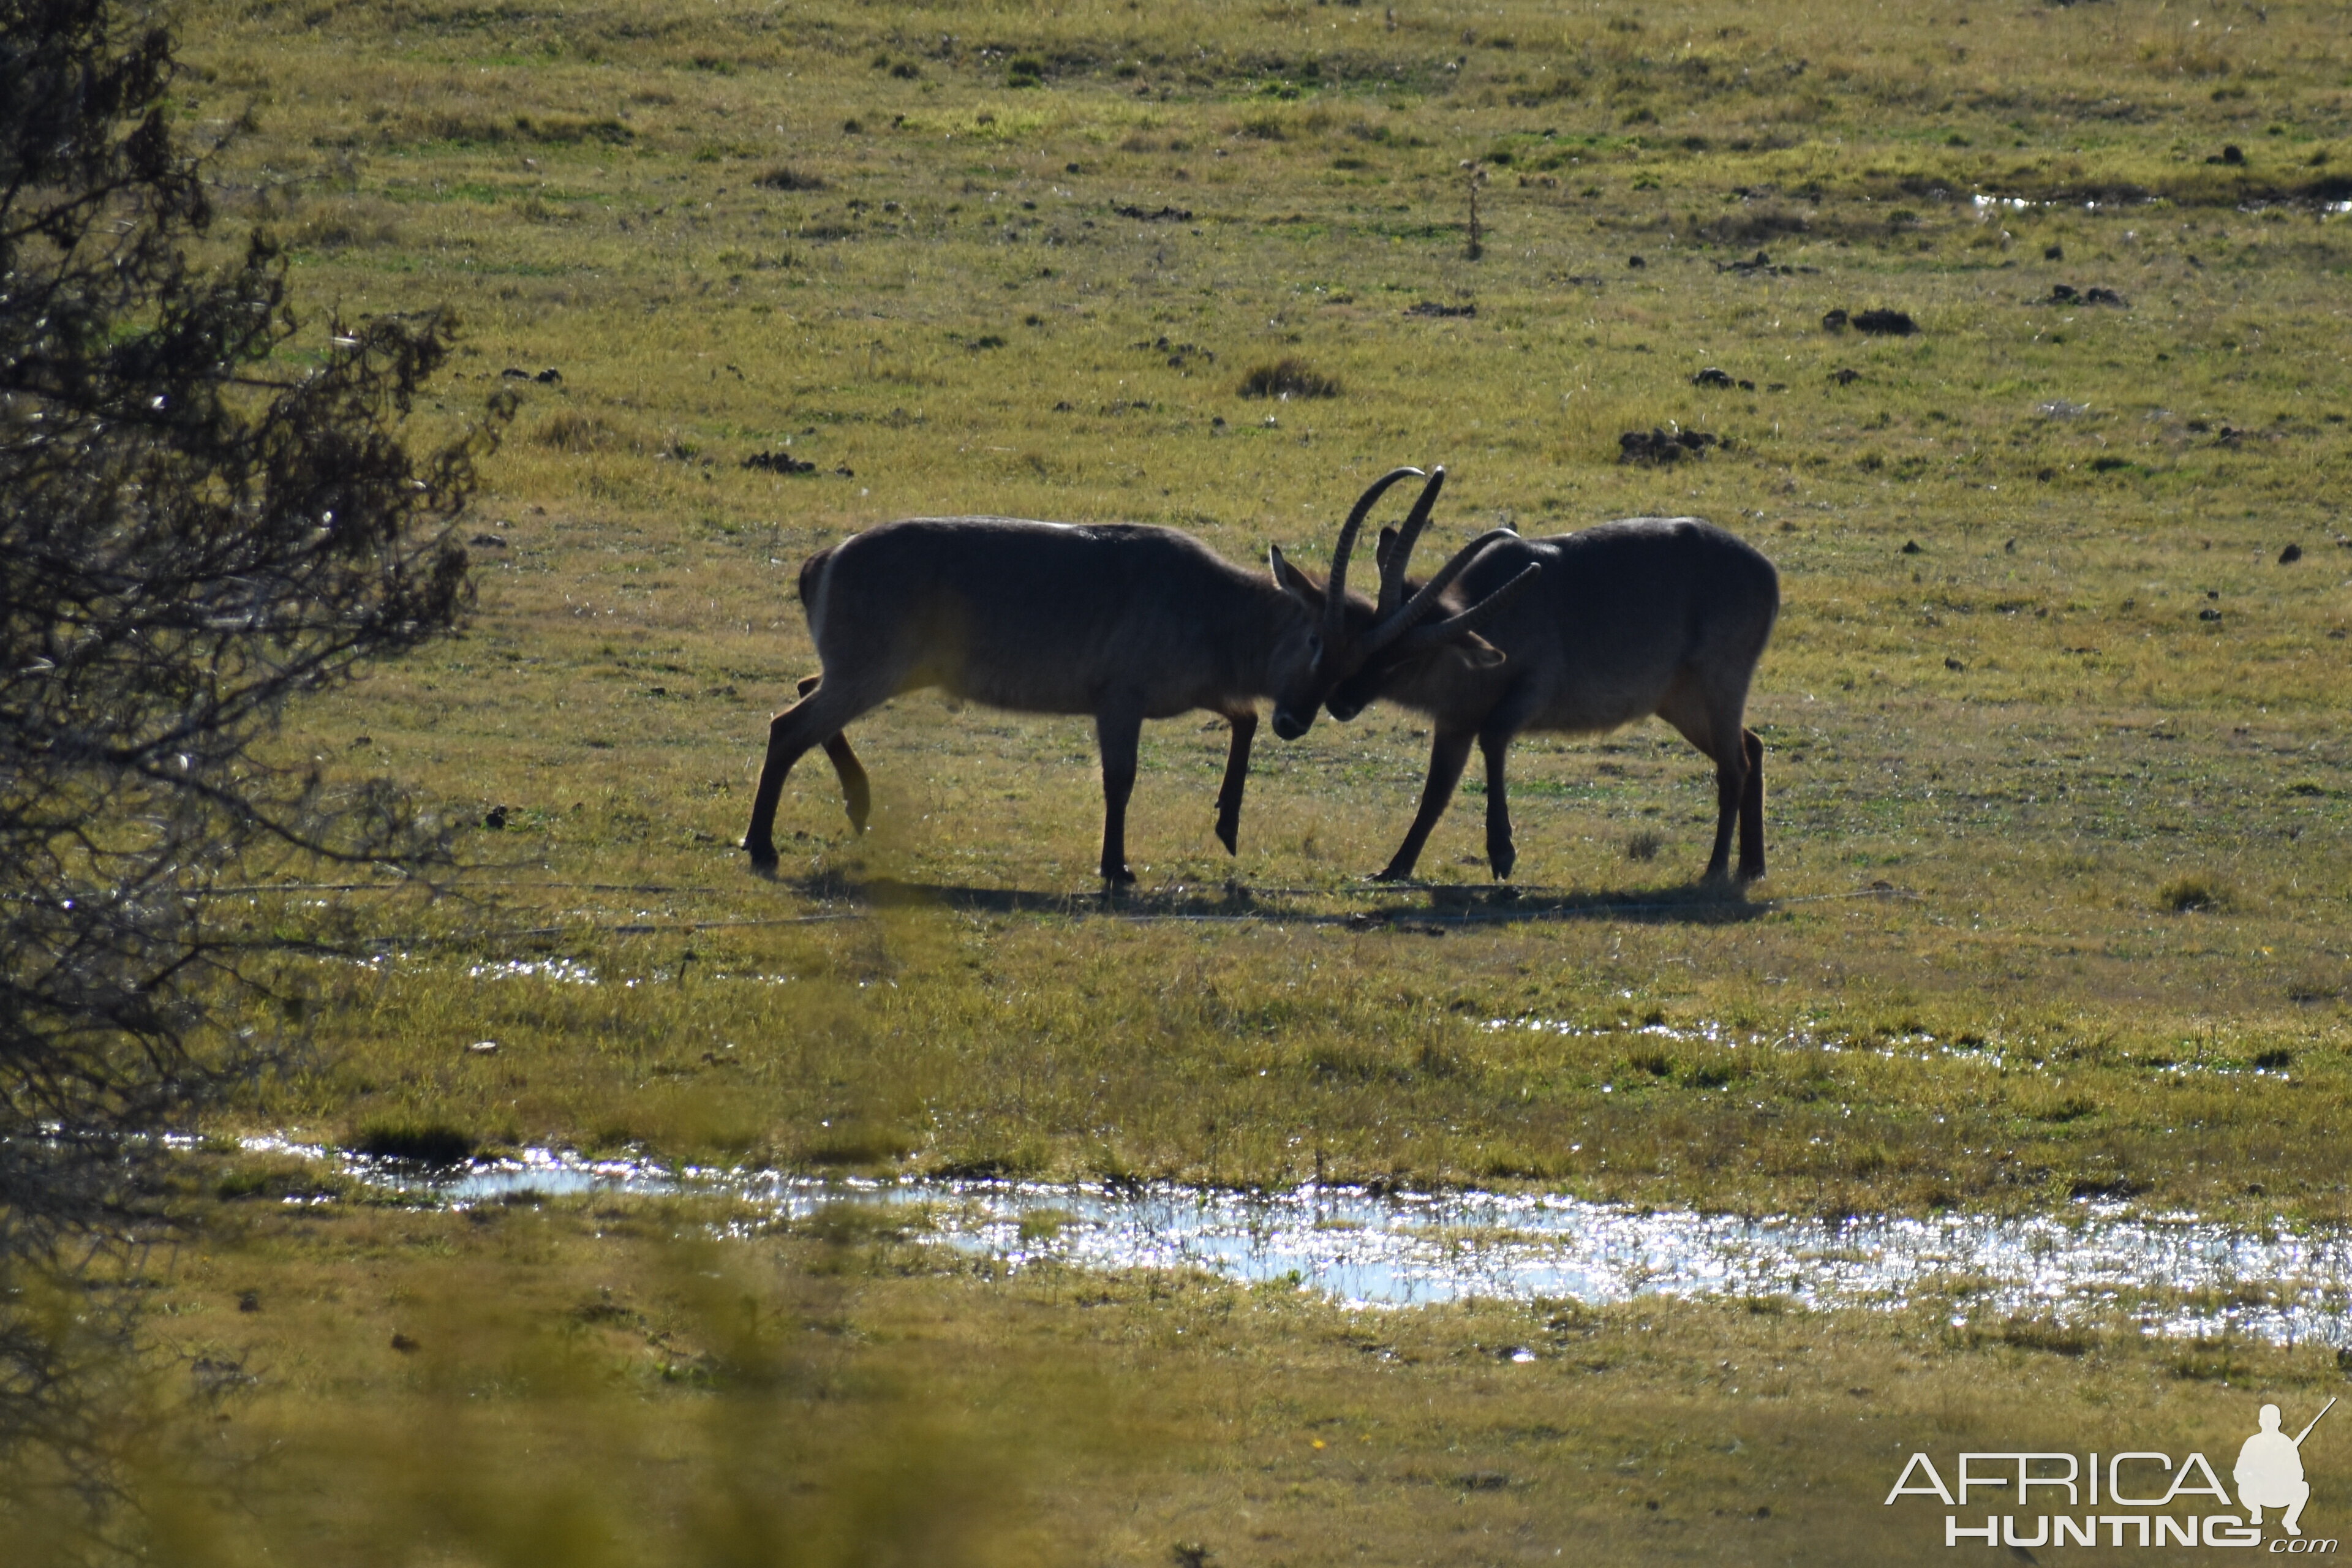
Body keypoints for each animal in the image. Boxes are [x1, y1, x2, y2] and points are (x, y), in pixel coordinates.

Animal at [743, 465, 1533, 884]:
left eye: (1361, 659)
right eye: (1316, 638)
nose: (1299, 721)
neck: (1212, 603)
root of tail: (825, 558)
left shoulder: (1202, 692)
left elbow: (1242, 717)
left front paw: (1228, 825)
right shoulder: (1118, 702)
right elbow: (1120, 781)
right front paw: (1117, 867)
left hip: (874, 676)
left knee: (805, 702)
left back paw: (857, 804)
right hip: (871, 674)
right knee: (788, 725)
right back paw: (763, 844)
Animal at [1326, 463, 1778, 884]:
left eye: (1407, 658)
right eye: (1369, 637)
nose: (1339, 702)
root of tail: (1768, 572)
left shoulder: (1534, 690)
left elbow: (1493, 739)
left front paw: (1502, 851)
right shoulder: (1454, 722)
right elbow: (1436, 792)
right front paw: (1395, 868)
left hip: (1718, 686)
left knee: (1734, 767)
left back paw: (1716, 869)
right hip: (1681, 704)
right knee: (1753, 746)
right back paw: (1752, 867)